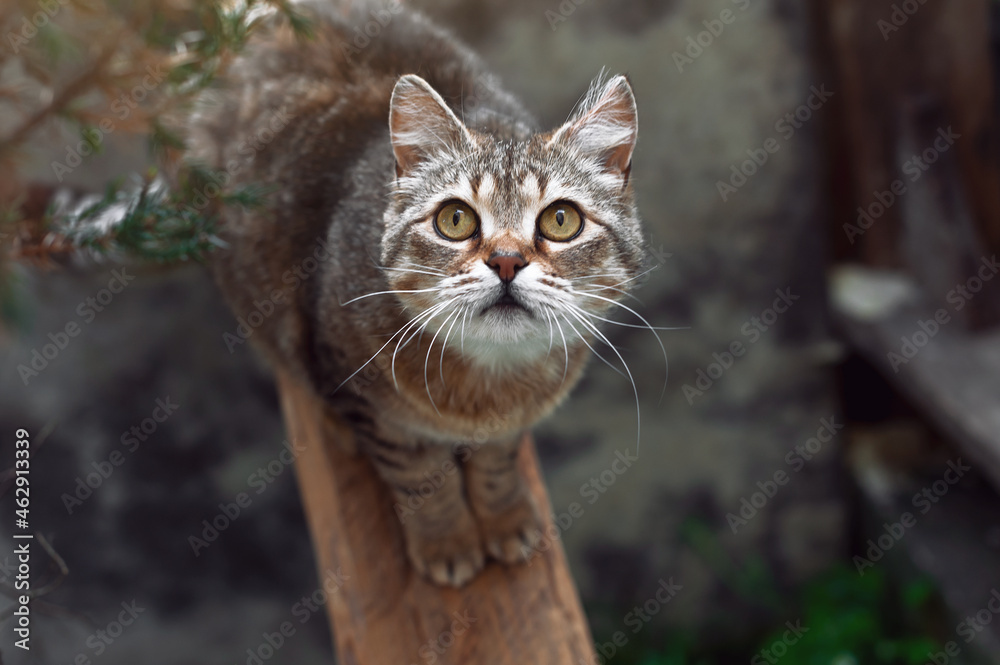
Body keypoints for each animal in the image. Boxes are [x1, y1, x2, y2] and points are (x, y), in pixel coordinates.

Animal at [191, 0, 644, 584]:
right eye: (455, 219)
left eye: (561, 220)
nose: (506, 261)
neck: (488, 386)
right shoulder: (372, 409)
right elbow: (421, 481)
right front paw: (447, 540)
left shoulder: (511, 425)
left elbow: (497, 466)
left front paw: (504, 516)